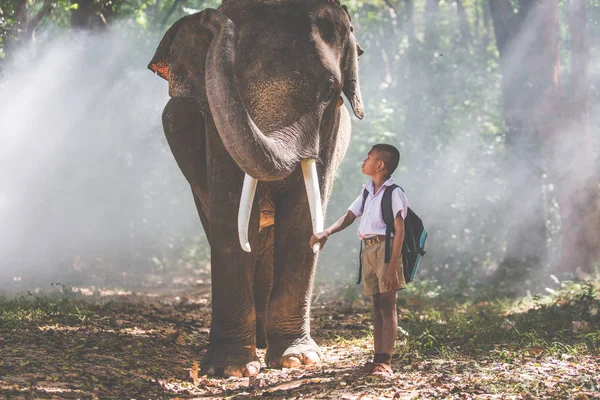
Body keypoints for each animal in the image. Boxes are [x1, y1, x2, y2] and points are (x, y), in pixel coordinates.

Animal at [149, 0, 366, 378]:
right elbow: (229, 219)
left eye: (329, 89)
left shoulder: (331, 129)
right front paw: (230, 369)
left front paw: (297, 360)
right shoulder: (214, 126)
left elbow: (301, 222)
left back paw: (266, 342)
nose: (207, 17)